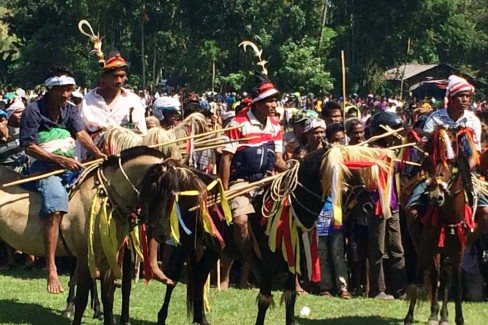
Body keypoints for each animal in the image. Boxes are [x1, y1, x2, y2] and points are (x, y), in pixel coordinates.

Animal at [0, 146, 168, 324]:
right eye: (158, 190)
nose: (163, 234)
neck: (104, 197)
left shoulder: (107, 256)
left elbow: (108, 295)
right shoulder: (85, 256)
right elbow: (82, 298)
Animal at [402, 128, 478, 324]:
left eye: (452, 165)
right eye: (431, 162)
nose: (435, 197)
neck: (448, 218)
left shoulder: (458, 252)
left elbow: (456, 286)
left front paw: (458, 318)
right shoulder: (424, 247)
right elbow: (418, 281)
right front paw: (409, 317)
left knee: (444, 276)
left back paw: (442, 315)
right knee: (435, 273)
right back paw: (434, 314)